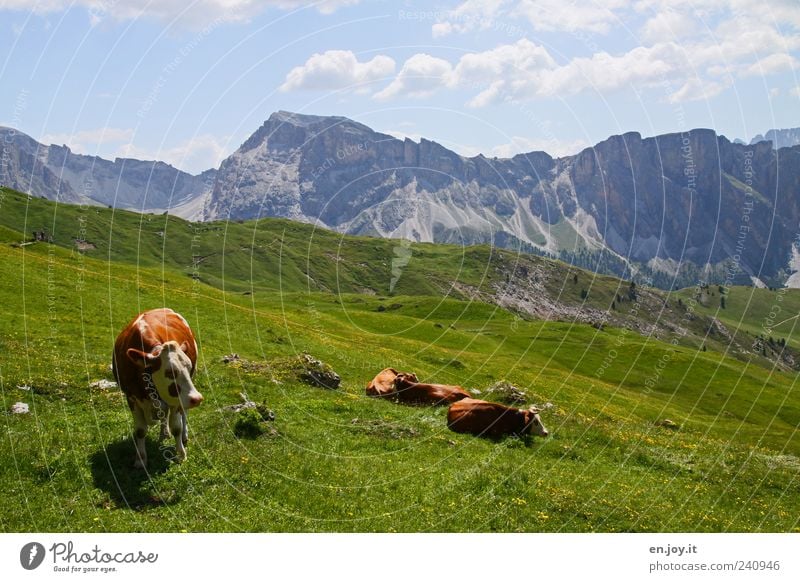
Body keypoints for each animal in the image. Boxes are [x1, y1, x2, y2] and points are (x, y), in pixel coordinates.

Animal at [114, 310, 205, 470]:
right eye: (170, 372)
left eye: (189, 367)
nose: (197, 398)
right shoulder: (131, 397)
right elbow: (140, 430)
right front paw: (140, 460)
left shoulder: (176, 399)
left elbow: (177, 427)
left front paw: (181, 455)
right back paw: (164, 433)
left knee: (184, 414)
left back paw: (184, 435)